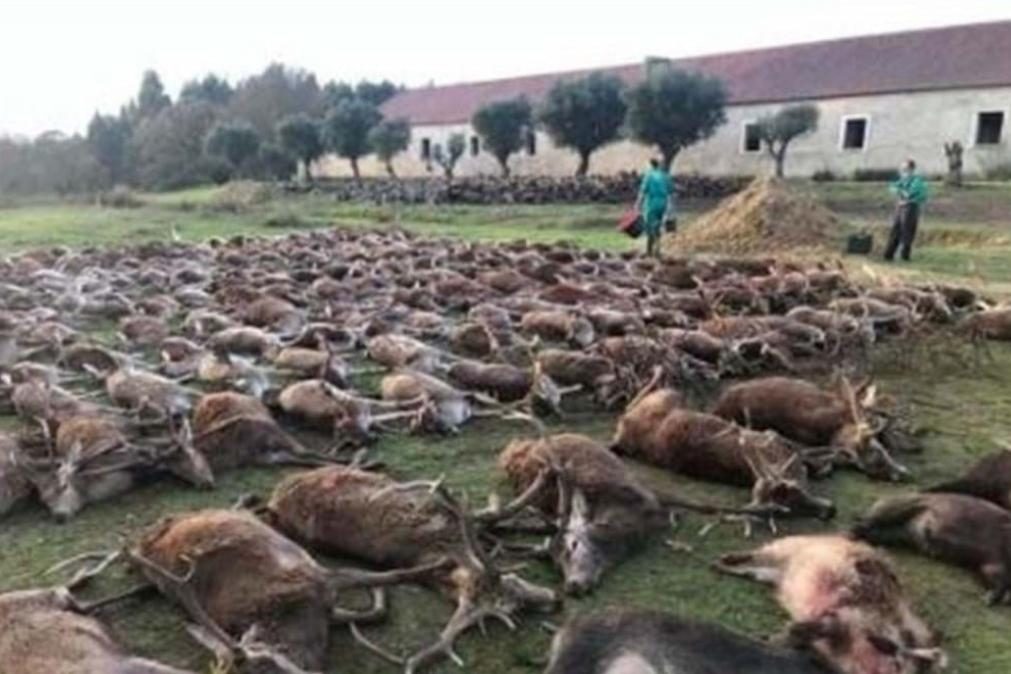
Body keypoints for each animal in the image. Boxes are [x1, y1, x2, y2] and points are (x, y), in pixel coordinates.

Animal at [264, 466, 558, 670]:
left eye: (514, 581)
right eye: (513, 604)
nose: (555, 598)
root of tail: (275, 496)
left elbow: (499, 516)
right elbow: (502, 511)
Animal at [715, 533, 942, 674]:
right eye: (898, 664)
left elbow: (803, 635)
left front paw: (773, 638)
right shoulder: (847, 616)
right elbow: (818, 626)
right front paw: (774, 637)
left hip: (771, 572)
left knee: (750, 570)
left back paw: (719, 564)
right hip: (783, 548)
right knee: (756, 554)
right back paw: (722, 559)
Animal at [857, 491, 1011, 606]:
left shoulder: (991, 562)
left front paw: (998, 598)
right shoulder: (994, 559)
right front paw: (988, 599)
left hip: (900, 531)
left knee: (879, 532)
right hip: (900, 506)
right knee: (870, 521)